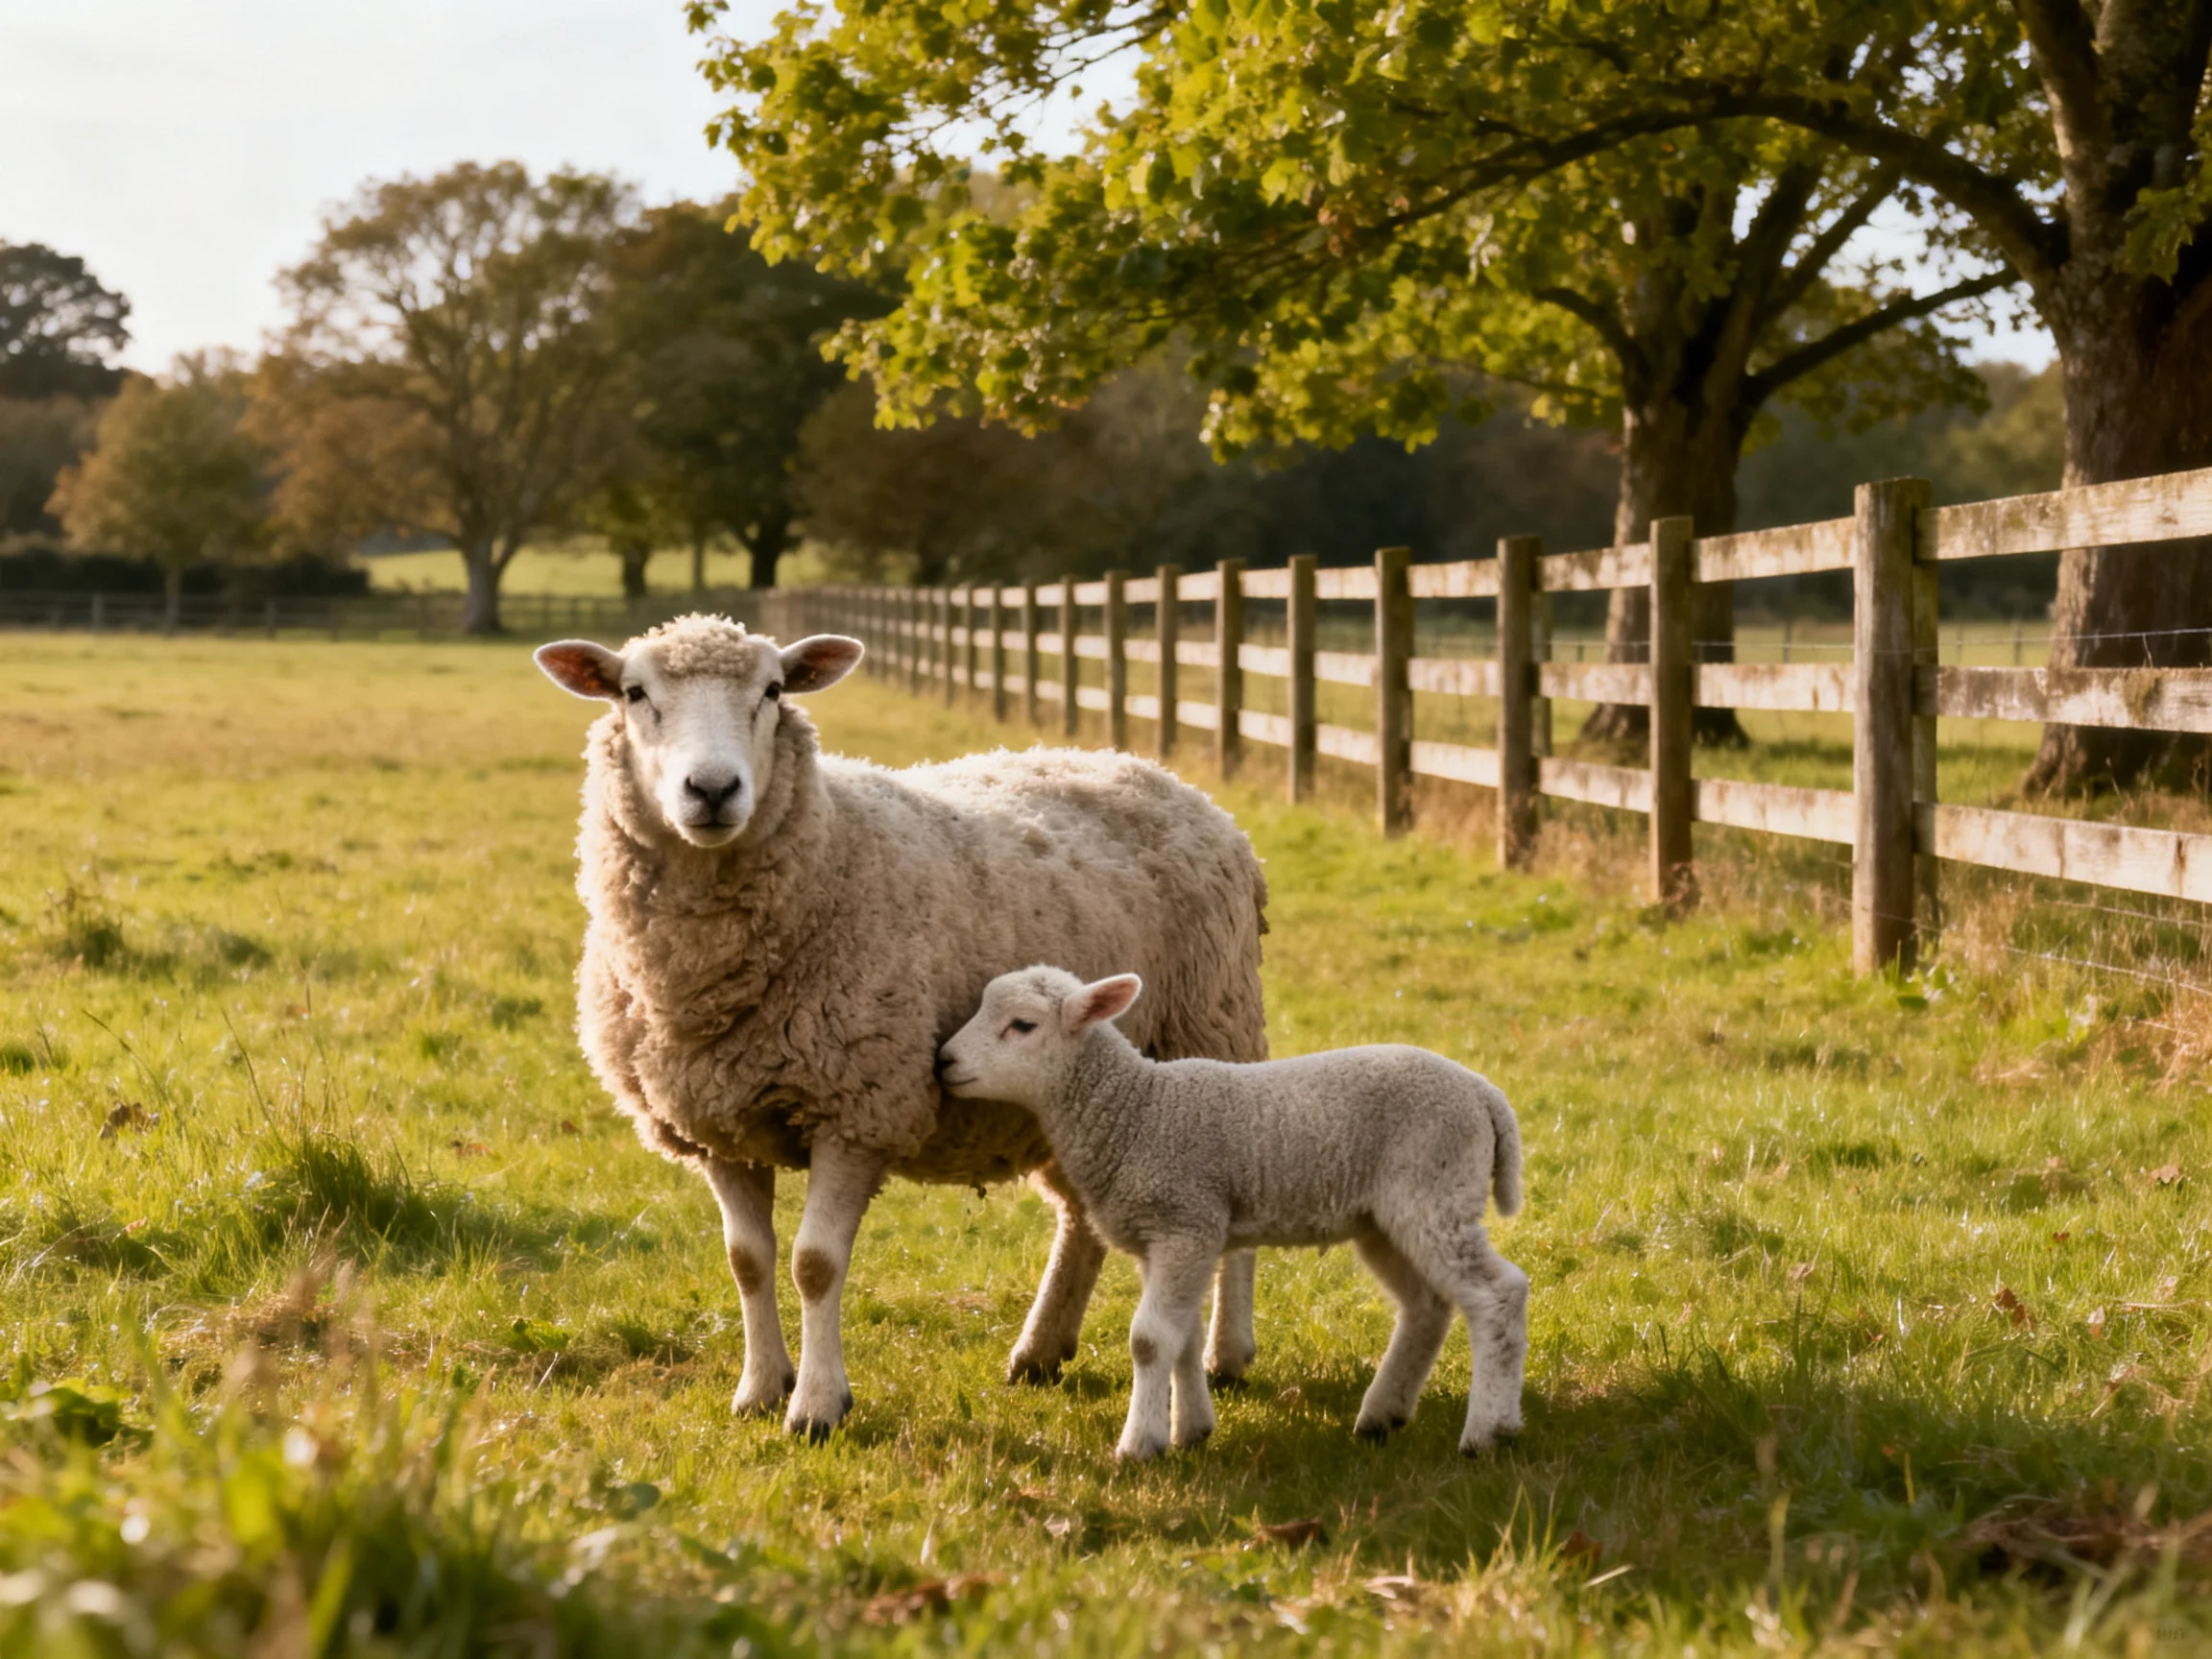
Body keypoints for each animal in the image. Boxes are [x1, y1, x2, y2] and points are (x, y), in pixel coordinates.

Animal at [533, 614, 1270, 1439]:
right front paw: (759, 1389)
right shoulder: (716, 1121)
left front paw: (817, 1406)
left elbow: (813, 1264)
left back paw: (1228, 1354)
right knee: (1081, 1216)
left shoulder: (860, 1106)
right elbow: (747, 1261)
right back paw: (1041, 1349)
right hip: (1082, 1089)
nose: (714, 790)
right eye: (633, 692)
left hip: (1214, 1031)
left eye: (773, 690)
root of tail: (1159, 774)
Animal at [938, 966, 1527, 1462]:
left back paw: (1488, 1431)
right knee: (1427, 1306)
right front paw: (1191, 1431)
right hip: (1386, 1219)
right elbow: (1182, 1337)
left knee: (1499, 1293)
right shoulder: (1167, 1240)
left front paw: (1139, 1445)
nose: (943, 1061)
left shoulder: (1185, 1222)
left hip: (1435, 1191)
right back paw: (1383, 1415)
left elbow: (1149, 1339)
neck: (1136, 1110)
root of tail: (1485, 1094)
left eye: (1022, 1025)